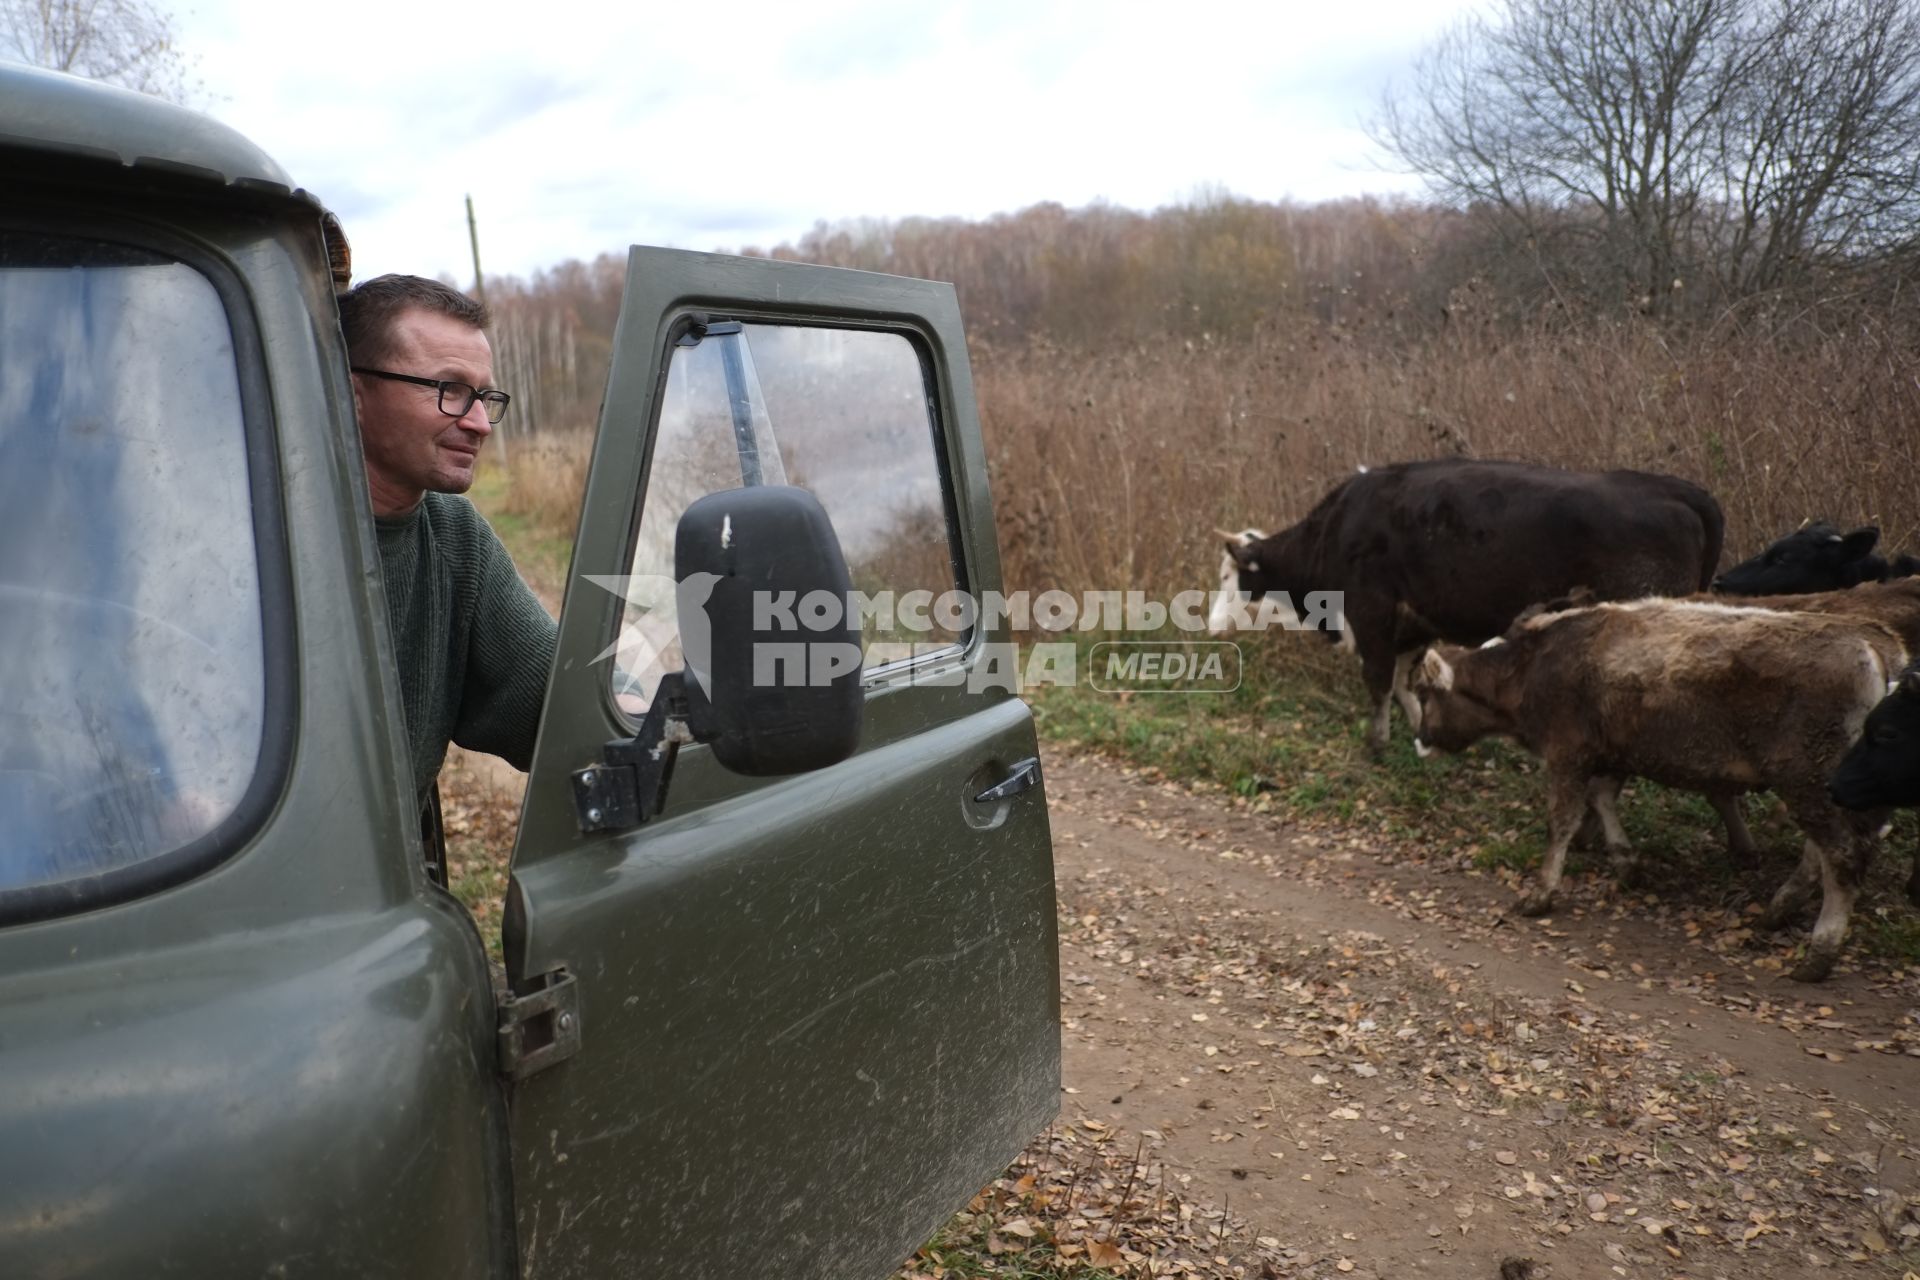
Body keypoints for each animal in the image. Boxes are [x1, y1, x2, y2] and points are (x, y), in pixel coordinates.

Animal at [1213, 462, 1728, 752]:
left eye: (1226, 576)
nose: (1211, 624)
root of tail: (1681, 492)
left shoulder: (1372, 612)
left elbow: (1379, 682)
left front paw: (1376, 745)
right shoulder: (1414, 620)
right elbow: (1405, 684)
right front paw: (1421, 733)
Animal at [1413, 602, 1904, 982]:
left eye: (1423, 694)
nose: (1419, 740)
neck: (1533, 665)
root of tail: (1870, 640)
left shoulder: (1567, 753)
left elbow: (1563, 821)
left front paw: (1541, 894)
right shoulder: (1611, 751)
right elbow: (1602, 799)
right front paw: (1626, 862)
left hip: (1808, 781)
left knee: (1841, 857)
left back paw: (1820, 953)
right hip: (1821, 787)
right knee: (1819, 853)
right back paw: (1779, 909)